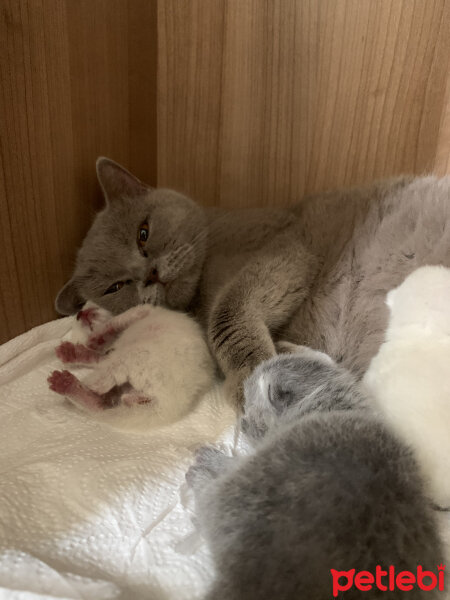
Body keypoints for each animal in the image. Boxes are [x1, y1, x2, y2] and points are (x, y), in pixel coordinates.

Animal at [48, 304, 217, 426]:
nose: (80, 313)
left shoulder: (144, 310)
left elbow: (119, 319)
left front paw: (96, 338)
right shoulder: (107, 355)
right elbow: (97, 356)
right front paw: (75, 352)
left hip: (130, 358)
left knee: (100, 384)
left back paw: (67, 384)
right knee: (102, 402)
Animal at [56, 158, 450, 404]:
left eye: (143, 233)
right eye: (116, 287)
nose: (149, 274)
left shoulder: (290, 245)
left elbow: (227, 313)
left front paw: (254, 376)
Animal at [185, 346, 442, 600]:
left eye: (248, 403)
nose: (242, 419)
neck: (330, 407)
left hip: (246, 492)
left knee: (211, 501)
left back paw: (204, 469)